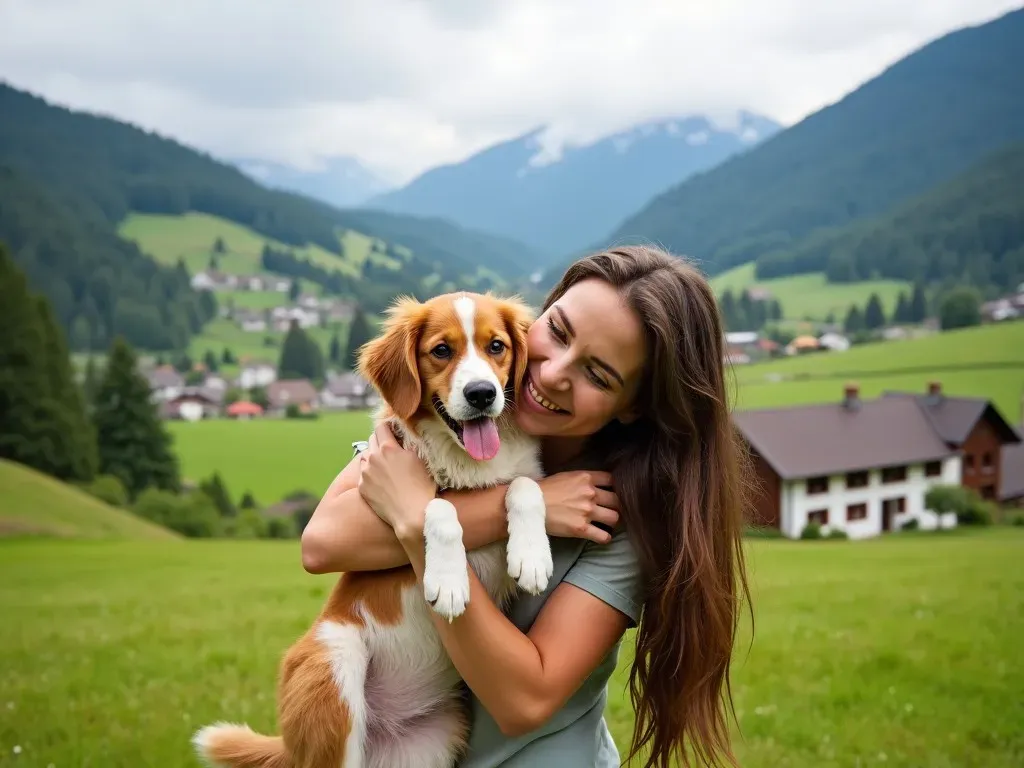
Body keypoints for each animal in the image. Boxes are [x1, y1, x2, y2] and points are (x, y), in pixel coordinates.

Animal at [195, 292, 557, 768]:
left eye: (496, 346)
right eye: (442, 350)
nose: (482, 394)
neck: (466, 465)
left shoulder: (523, 474)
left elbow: (525, 485)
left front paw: (531, 557)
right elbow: (438, 505)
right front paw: (449, 580)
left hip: (436, 737)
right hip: (334, 663)